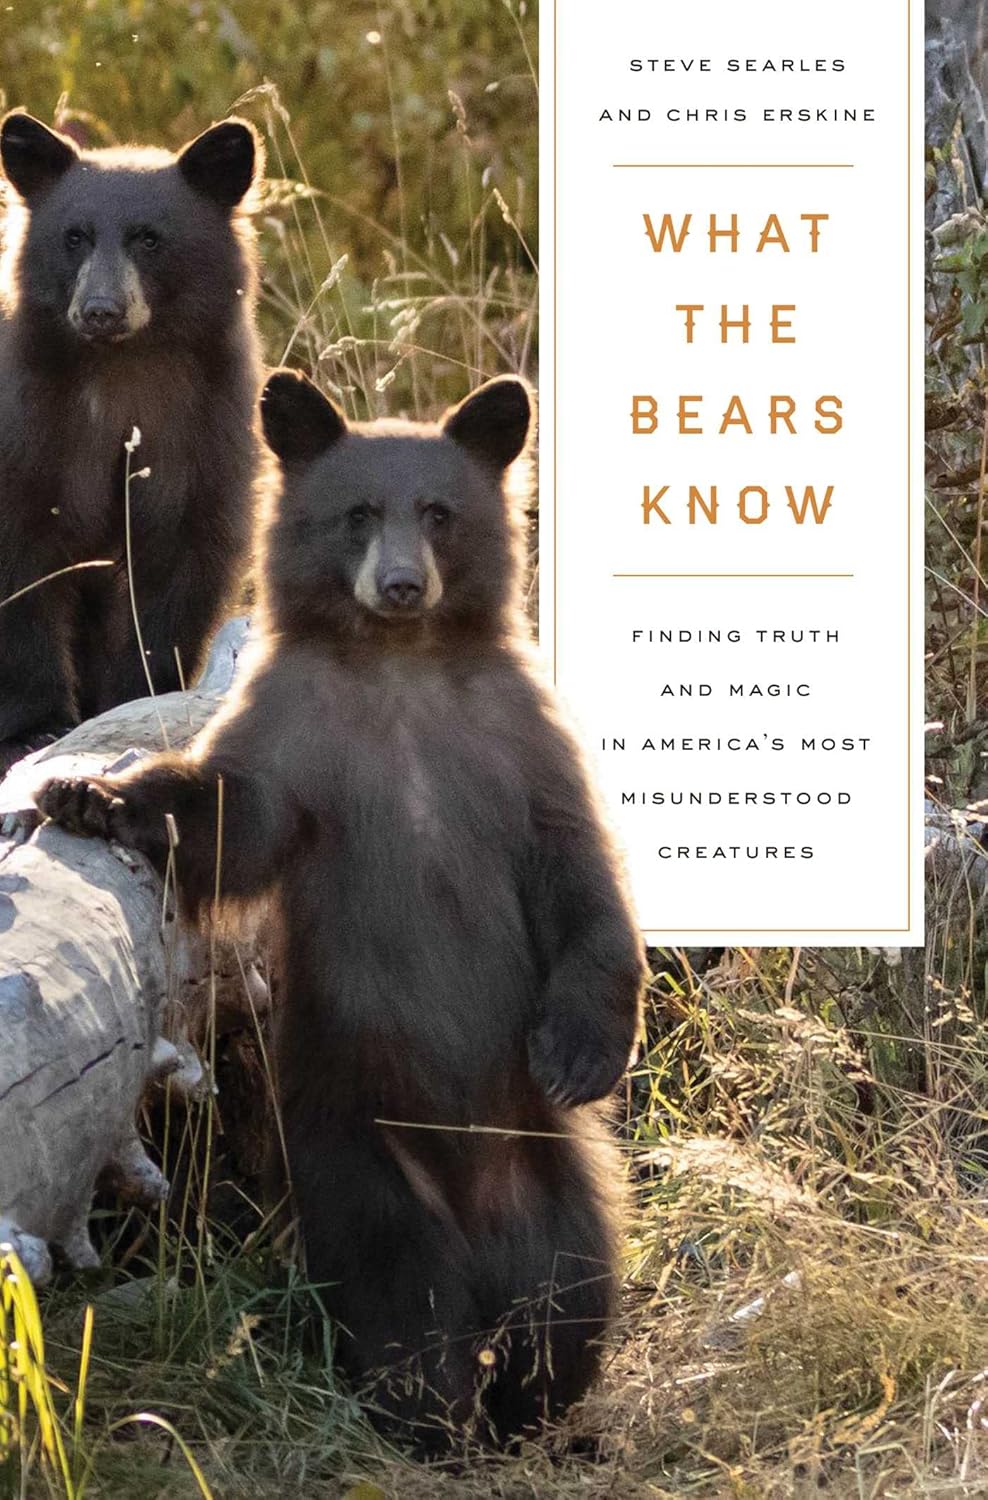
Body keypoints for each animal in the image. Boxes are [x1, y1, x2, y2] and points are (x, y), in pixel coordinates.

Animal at [0, 112, 264, 772]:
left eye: (149, 238)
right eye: (74, 237)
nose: (100, 310)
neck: (124, 369)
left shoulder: (202, 433)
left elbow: (180, 568)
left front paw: (135, 699)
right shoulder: (31, 430)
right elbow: (22, 566)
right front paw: (35, 726)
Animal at [35, 369, 646, 1453]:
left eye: (438, 513)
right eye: (358, 513)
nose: (401, 587)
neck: (399, 673)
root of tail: (478, 1228)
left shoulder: (518, 745)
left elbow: (583, 879)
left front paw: (579, 1050)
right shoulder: (299, 740)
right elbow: (227, 816)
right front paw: (90, 794)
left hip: (554, 1181)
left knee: (570, 1300)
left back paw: (535, 1409)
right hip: (359, 1162)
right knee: (403, 1304)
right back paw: (431, 1418)